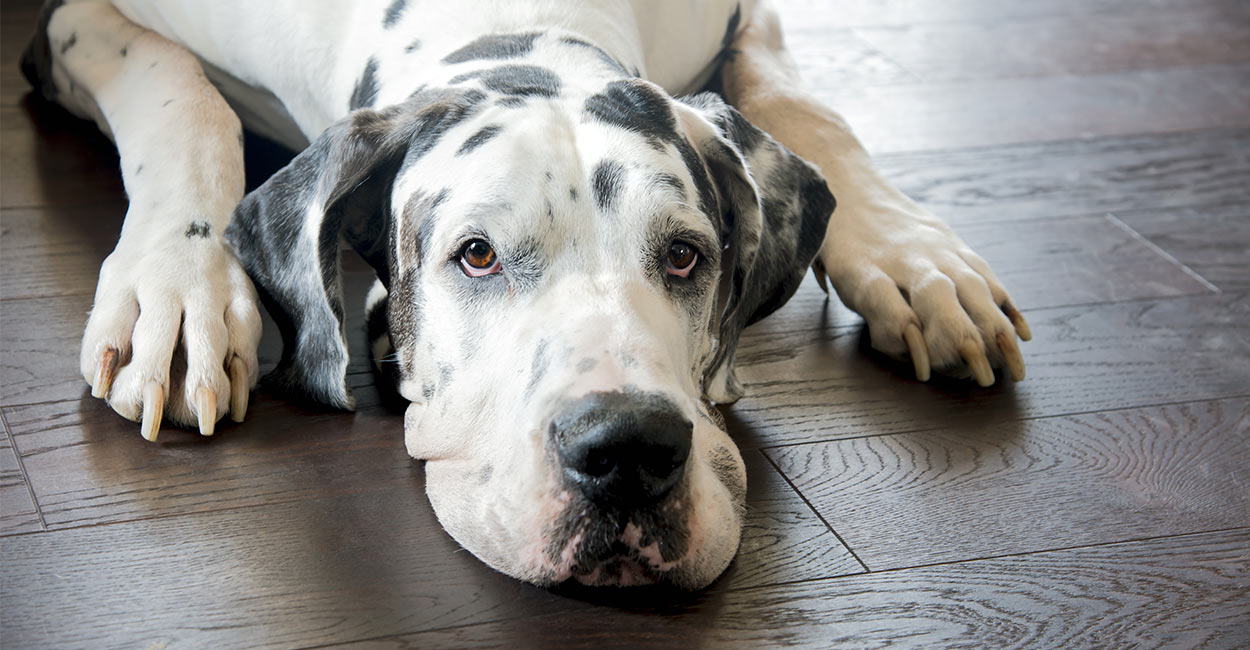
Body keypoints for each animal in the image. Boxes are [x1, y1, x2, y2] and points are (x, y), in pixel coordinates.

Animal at [26, 1, 1025, 590]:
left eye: (685, 257)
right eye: (476, 255)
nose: (626, 450)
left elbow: (796, 94)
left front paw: (916, 255)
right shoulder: (76, 23)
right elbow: (181, 93)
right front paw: (176, 288)